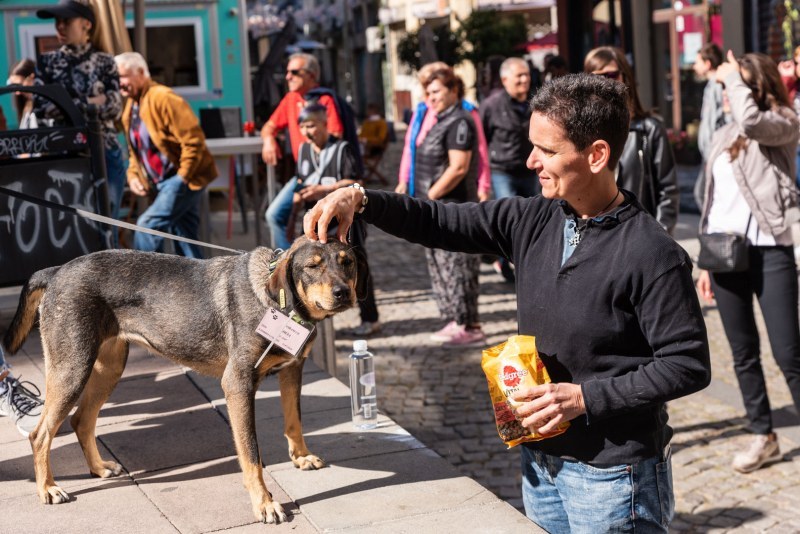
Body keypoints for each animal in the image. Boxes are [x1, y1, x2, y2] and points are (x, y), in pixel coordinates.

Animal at [1, 238, 366, 524]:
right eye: (313, 266)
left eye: (347, 263)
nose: (343, 293)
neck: (276, 301)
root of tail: (57, 270)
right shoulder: (238, 384)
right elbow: (251, 455)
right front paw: (264, 504)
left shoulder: (293, 369)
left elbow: (294, 421)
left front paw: (300, 456)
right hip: (72, 369)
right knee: (41, 434)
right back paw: (48, 488)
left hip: (108, 367)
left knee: (81, 420)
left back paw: (99, 468)